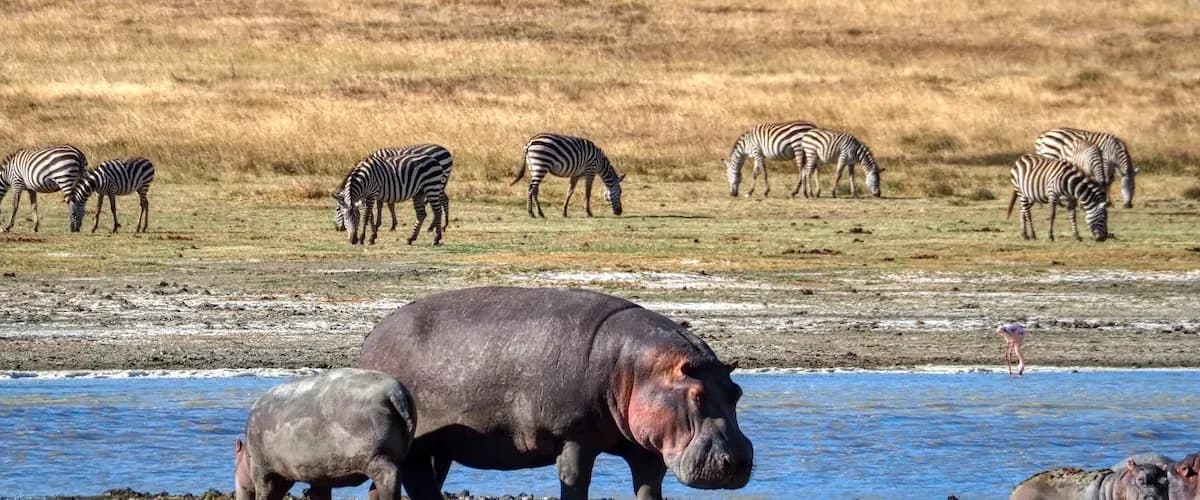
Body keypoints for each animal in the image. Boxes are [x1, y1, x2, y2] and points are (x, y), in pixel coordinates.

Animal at [235, 368, 416, 500]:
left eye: (235, 461)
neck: (247, 455)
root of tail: (396, 393)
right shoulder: (319, 475)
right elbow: (318, 494)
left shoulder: (262, 470)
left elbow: (264, 493)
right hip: (393, 456)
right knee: (380, 485)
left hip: (376, 457)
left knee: (388, 478)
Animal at [359, 286, 753, 500]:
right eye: (697, 395)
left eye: (736, 392)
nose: (737, 461)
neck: (638, 368)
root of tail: (372, 336)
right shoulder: (573, 436)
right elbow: (576, 481)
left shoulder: (646, 447)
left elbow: (648, 486)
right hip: (415, 443)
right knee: (416, 482)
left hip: (438, 447)